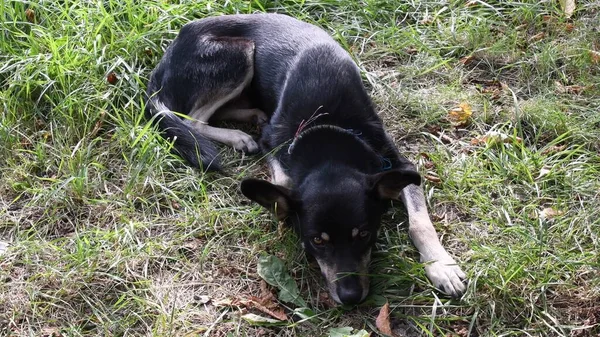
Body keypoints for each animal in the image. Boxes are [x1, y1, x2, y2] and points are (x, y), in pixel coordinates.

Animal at [148, 13, 466, 304]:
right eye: (317, 241)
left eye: (364, 234)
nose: (350, 297)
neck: (327, 127)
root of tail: (172, 48)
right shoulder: (271, 142)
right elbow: (285, 179)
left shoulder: (399, 164)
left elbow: (420, 223)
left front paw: (442, 266)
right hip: (238, 53)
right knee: (190, 119)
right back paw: (238, 136)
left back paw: (251, 116)